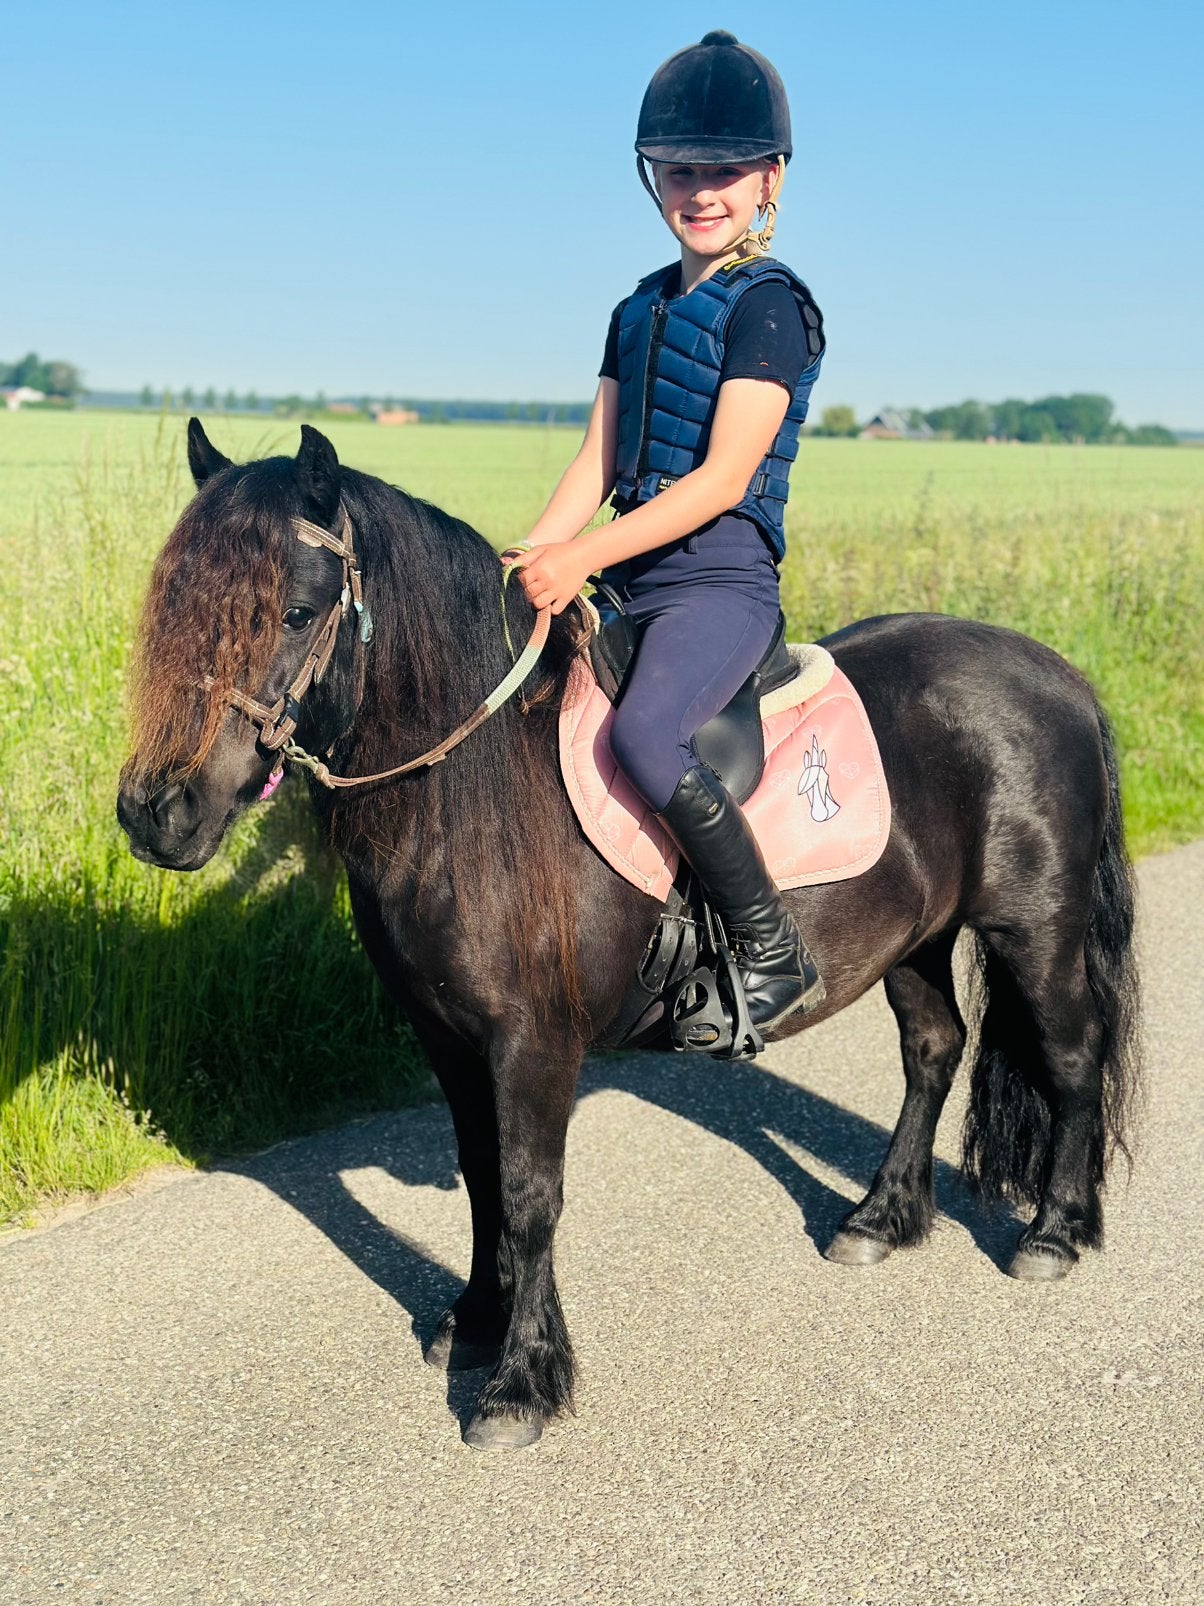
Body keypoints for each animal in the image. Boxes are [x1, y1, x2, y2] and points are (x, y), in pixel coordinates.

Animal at [117, 420, 1142, 1450]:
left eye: (295, 611)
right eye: (170, 605)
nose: (157, 813)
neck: (470, 792)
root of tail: (1058, 673)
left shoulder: (532, 1042)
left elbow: (529, 1197)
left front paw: (524, 1381)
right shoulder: (447, 1037)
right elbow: (482, 1178)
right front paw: (477, 1324)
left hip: (1035, 930)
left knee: (1071, 1055)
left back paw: (1055, 1231)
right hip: (916, 939)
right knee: (935, 1047)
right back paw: (882, 1218)